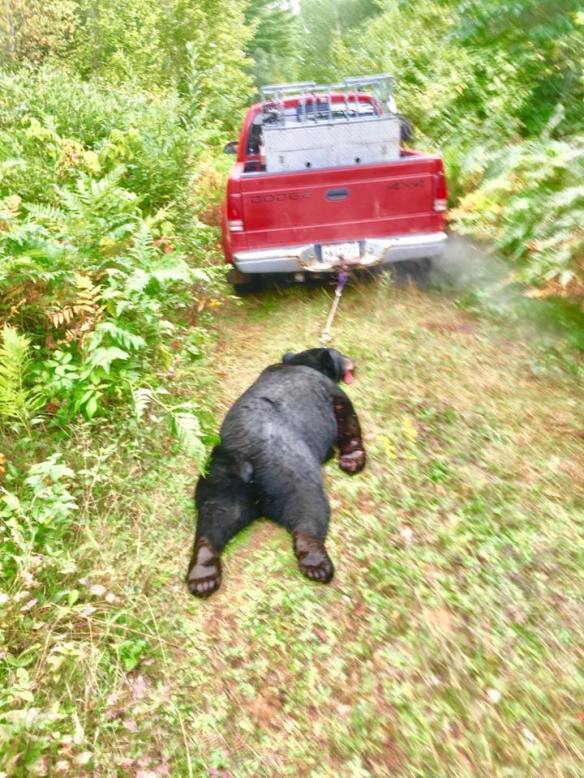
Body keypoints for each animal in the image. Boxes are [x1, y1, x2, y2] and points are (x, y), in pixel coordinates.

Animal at [186, 348, 366, 598]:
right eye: (341, 354)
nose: (353, 361)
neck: (301, 363)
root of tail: (245, 458)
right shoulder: (328, 391)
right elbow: (347, 416)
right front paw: (351, 460)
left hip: (218, 477)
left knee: (215, 515)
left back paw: (202, 574)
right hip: (289, 465)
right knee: (308, 503)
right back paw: (315, 561)